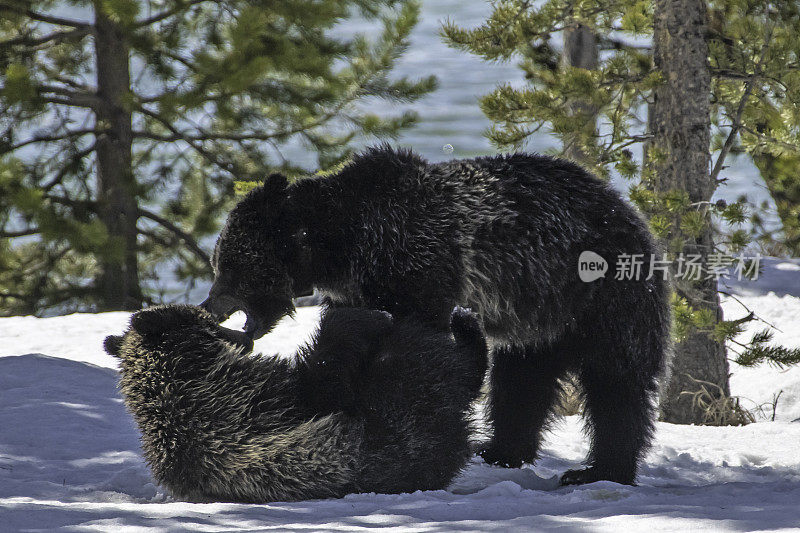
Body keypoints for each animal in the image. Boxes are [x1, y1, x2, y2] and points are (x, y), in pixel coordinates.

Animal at [106, 304, 488, 502]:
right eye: (213, 322)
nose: (246, 335)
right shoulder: (248, 405)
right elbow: (324, 380)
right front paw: (354, 317)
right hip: (403, 416)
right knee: (432, 368)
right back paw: (463, 328)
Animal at [203, 145, 672, 486]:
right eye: (219, 263)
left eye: (230, 268)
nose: (210, 305)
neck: (343, 245)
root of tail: (628, 209)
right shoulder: (362, 287)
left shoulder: (418, 264)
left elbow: (418, 340)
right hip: (539, 322)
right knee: (521, 383)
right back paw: (501, 450)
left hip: (600, 294)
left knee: (615, 382)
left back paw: (600, 469)